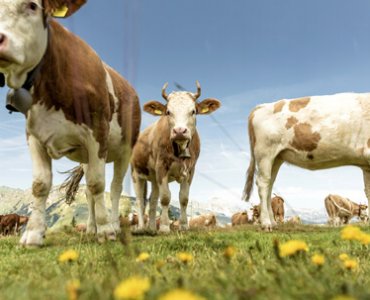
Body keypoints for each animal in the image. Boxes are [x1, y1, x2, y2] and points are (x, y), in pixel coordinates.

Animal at [0, 0, 141, 246]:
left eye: (32, 6)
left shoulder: (98, 133)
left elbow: (97, 183)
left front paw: (106, 231)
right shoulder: (33, 136)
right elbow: (40, 184)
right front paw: (33, 234)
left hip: (125, 150)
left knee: (114, 188)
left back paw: (113, 225)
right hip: (86, 157)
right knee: (89, 193)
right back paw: (91, 229)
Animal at [132, 82, 221, 232]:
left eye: (193, 111)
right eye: (168, 112)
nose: (179, 131)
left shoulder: (190, 170)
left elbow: (184, 198)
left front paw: (184, 226)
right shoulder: (161, 166)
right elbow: (165, 198)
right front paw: (164, 227)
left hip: (154, 178)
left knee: (153, 200)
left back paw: (152, 228)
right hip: (136, 173)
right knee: (140, 201)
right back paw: (141, 228)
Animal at [243, 93, 370, 230]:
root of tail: (261, 106)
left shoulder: (366, 164)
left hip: (276, 158)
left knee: (269, 185)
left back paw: (273, 223)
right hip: (265, 154)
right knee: (263, 183)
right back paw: (266, 224)